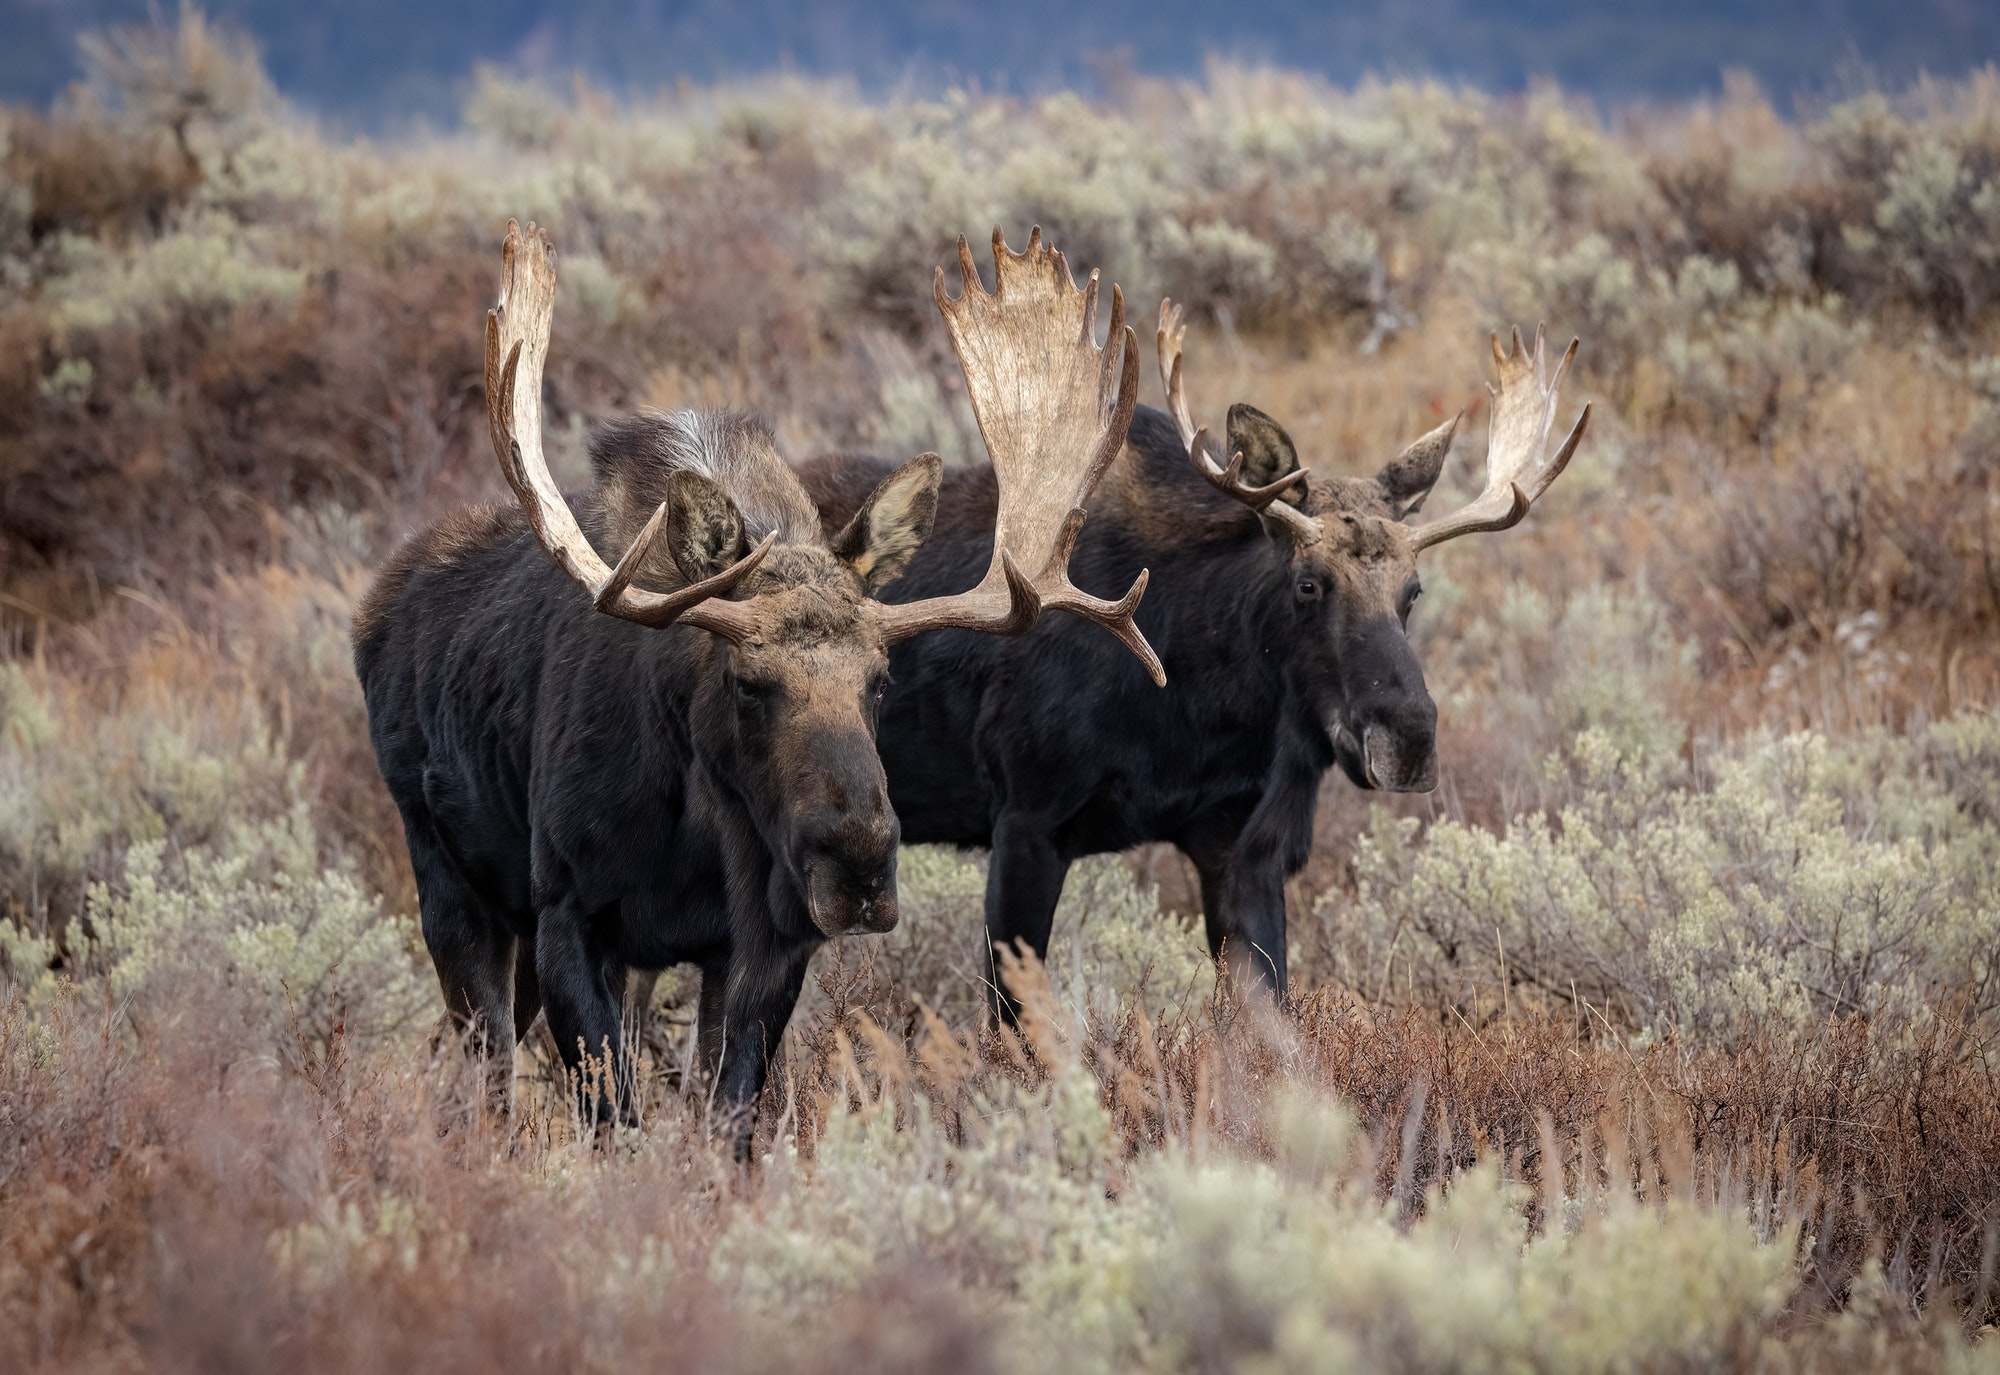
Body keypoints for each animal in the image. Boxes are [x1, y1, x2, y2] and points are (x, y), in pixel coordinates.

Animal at [796, 297, 1592, 1019]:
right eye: (1308, 583)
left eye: (1413, 590)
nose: (1409, 739)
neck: (1207, 705)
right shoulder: (1025, 821)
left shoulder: (1243, 847)